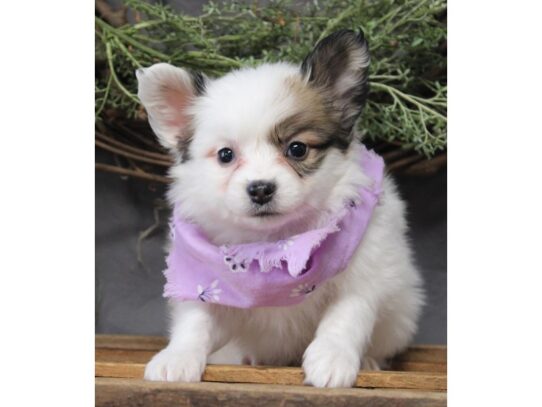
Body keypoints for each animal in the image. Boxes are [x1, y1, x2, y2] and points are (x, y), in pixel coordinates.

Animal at [136, 29, 424, 388]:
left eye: (297, 149)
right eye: (226, 155)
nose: (260, 188)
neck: (275, 246)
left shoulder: (365, 276)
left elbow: (345, 317)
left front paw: (332, 358)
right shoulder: (205, 284)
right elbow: (195, 322)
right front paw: (176, 357)